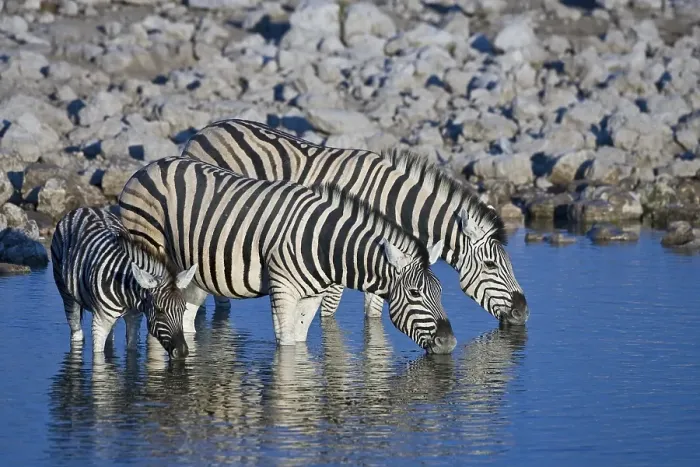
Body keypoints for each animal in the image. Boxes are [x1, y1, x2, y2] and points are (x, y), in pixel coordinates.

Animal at [51, 207, 198, 359]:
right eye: (159, 311)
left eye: (183, 310)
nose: (182, 352)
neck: (127, 294)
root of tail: (85, 208)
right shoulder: (100, 321)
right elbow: (98, 357)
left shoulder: (134, 317)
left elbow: (132, 353)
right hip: (66, 293)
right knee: (76, 332)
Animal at [118, 156, 457, 354]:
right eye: (414, 293)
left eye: (441, 291)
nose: (449, 342)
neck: (324, 244)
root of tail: (147, 166)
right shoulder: (282, 288)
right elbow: (285, 342)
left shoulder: (312, 295)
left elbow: (298, 338)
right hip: (146, 249)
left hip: (190, 271)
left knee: (185, 317)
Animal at [181, 118, 528, 325]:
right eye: (491, 265)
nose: (523, 312)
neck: (389, 203)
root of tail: (207, 128)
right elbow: (329, 315)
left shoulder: (386, 258)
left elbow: (373, 316)